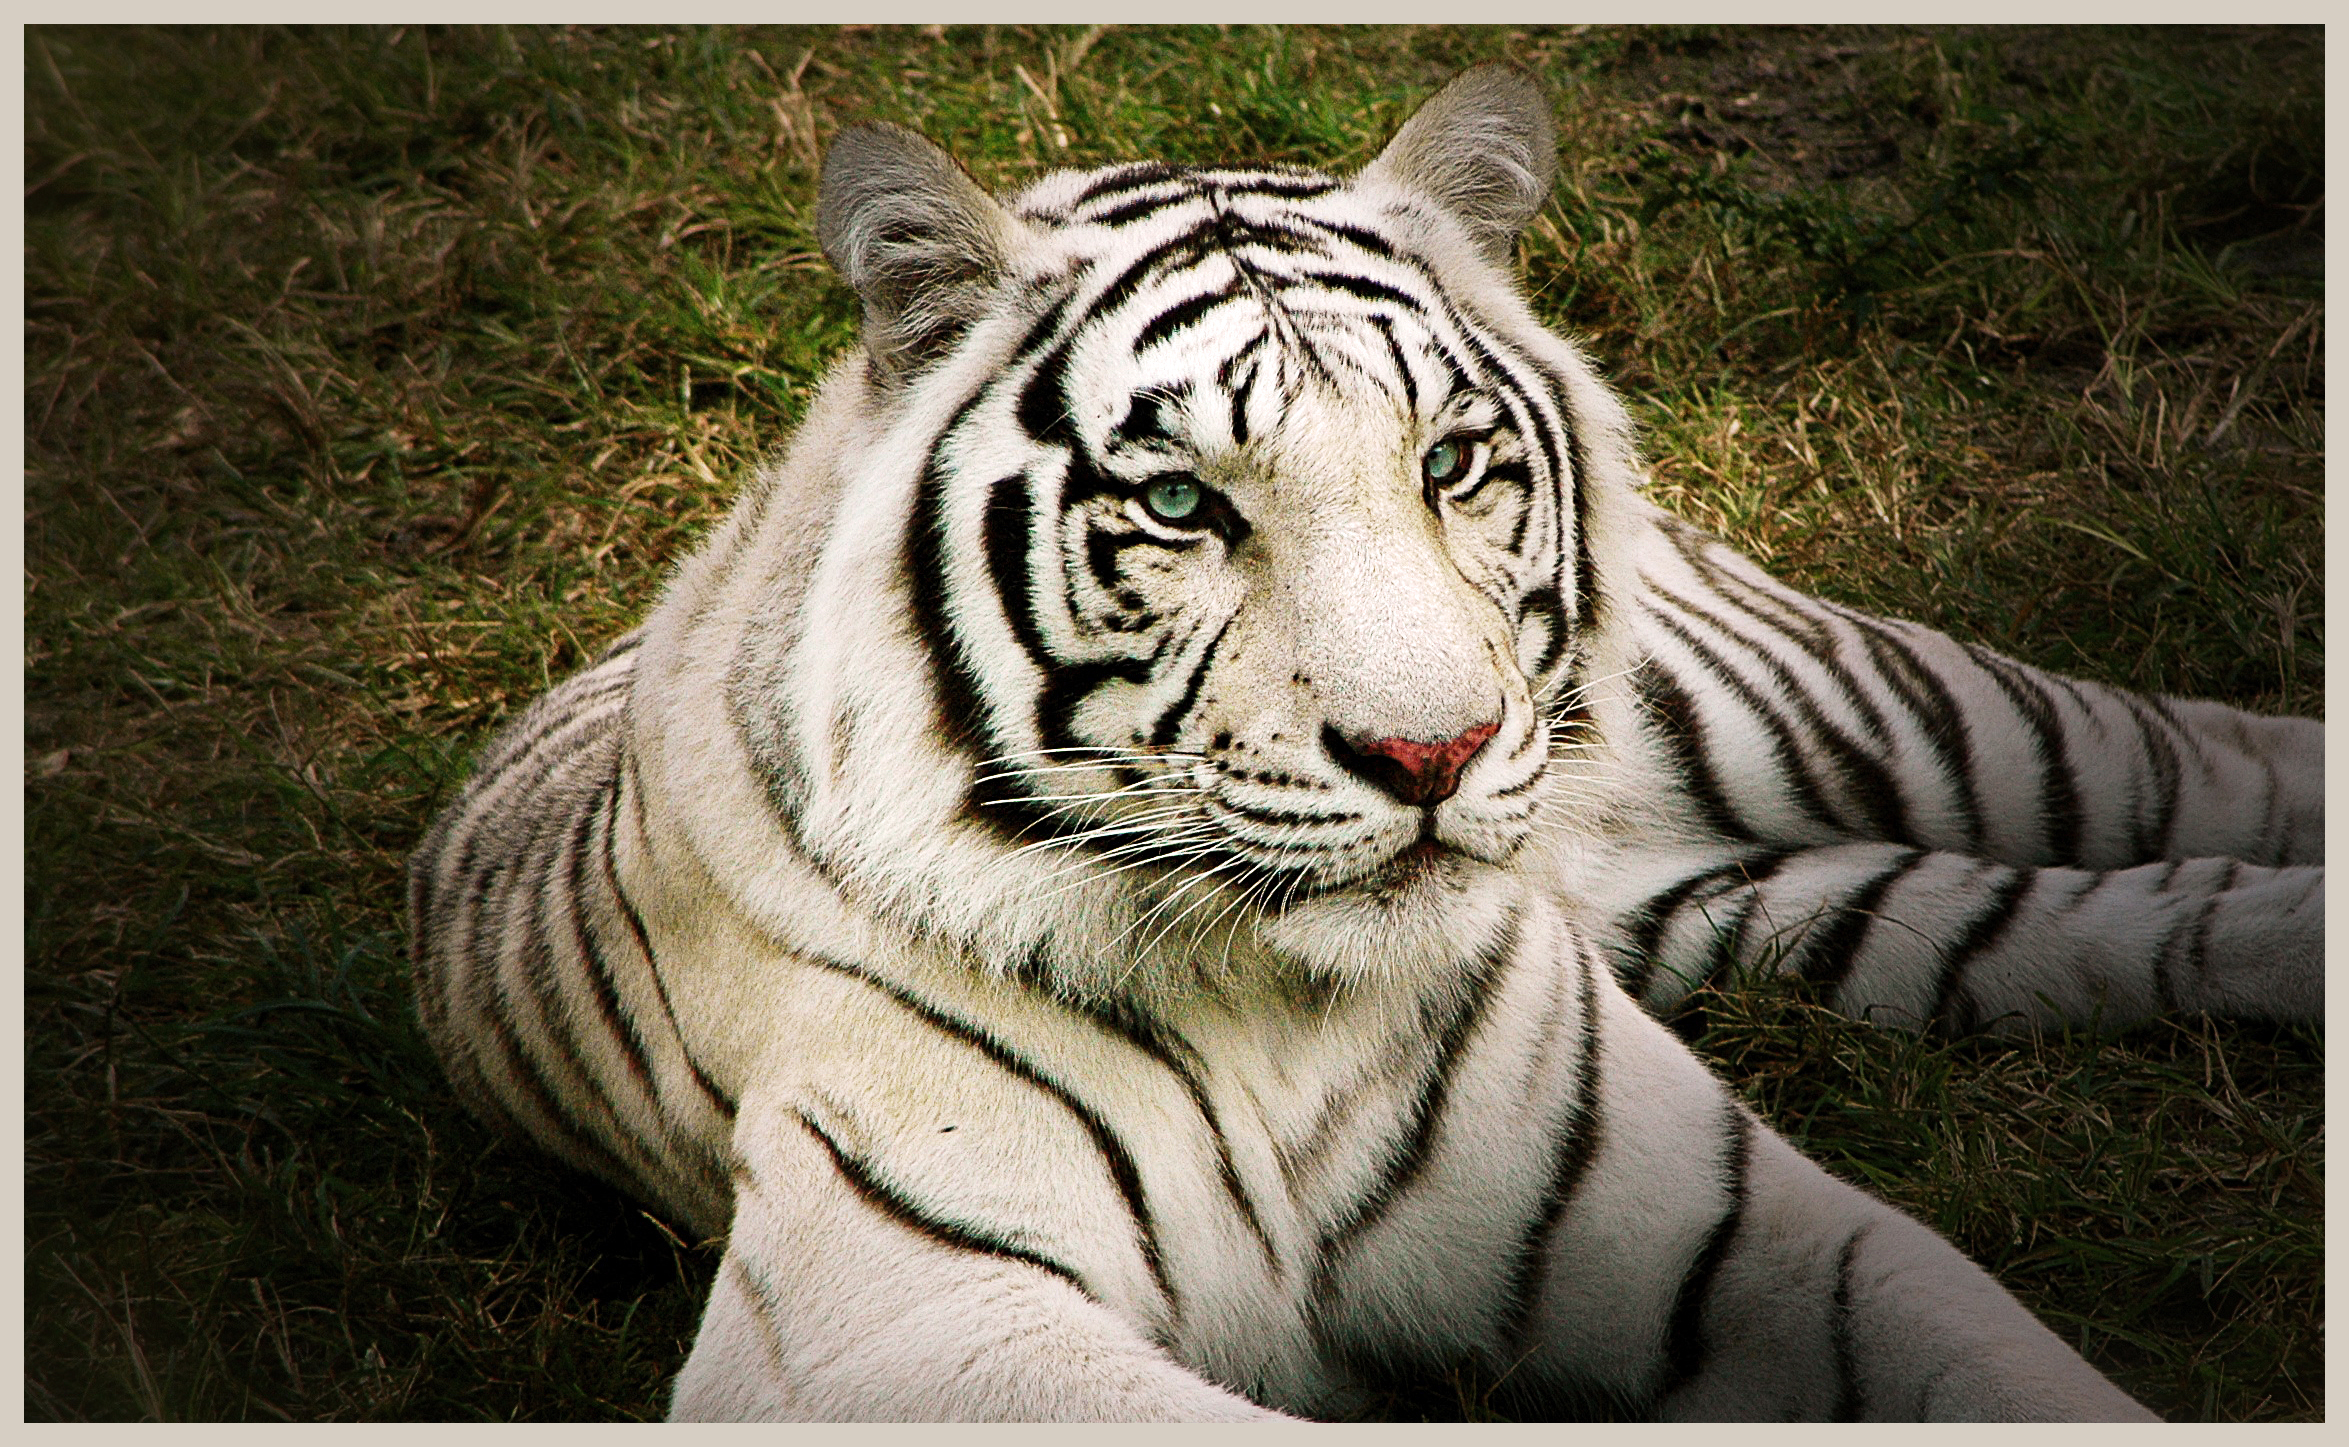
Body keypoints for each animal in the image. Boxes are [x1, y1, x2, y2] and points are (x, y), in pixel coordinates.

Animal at [407, 65, 2320, 1421]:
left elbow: (1995, 1354)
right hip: (1778, 913)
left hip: (1843, 701)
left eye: (1451, 462)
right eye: (1181, 503)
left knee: (2186, 759)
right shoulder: (899, 1313)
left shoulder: (1733, 1221)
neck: (1277, 1005)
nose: (1436, 752)